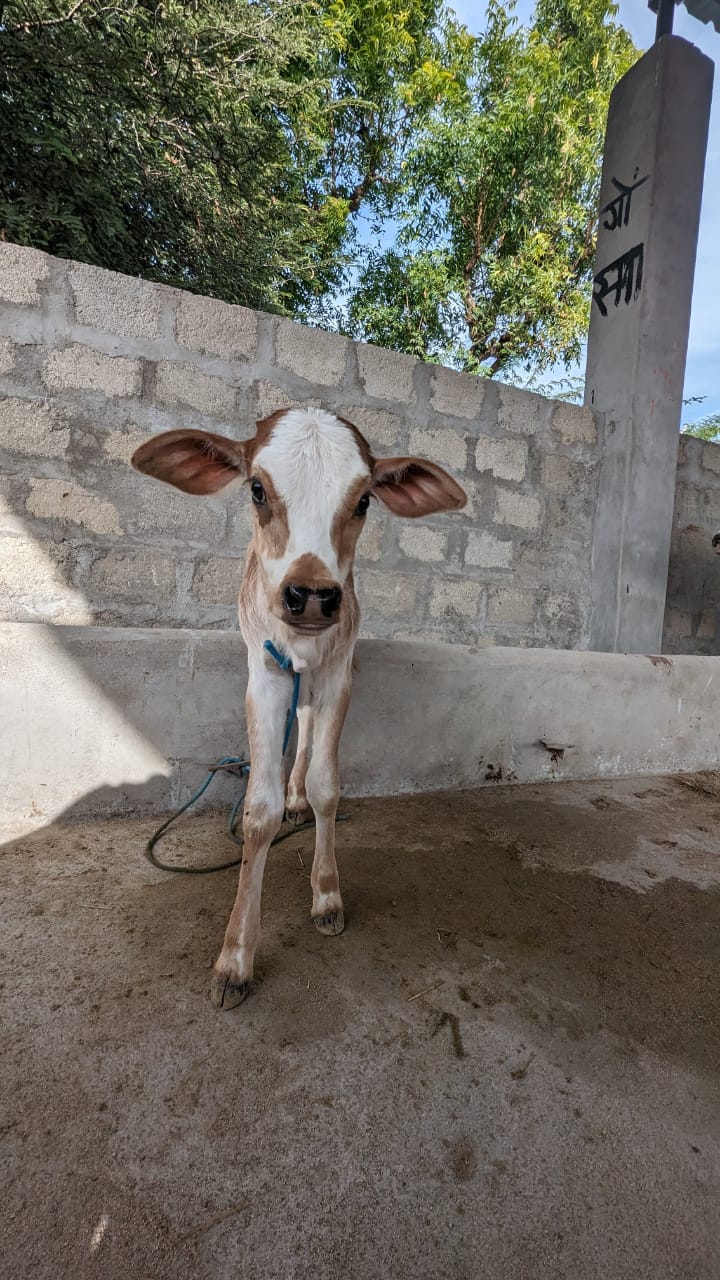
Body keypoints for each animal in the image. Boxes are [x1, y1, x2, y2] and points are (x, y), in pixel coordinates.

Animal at [132, 408, 467, 1009]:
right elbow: (258, 810)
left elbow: (327, 786)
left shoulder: (339, 674)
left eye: (363, 500)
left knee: (307, 735)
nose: (311, 595)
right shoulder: (264, 675)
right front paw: (235, 957)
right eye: (257, 488)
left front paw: (327, 895)